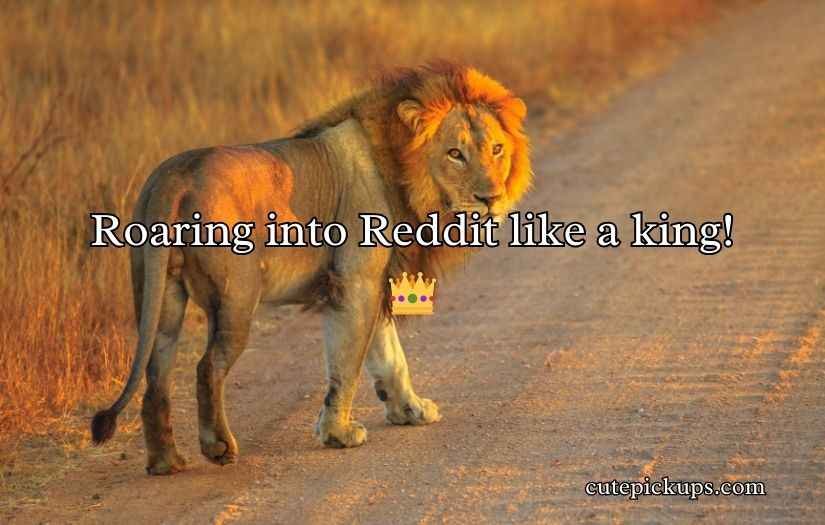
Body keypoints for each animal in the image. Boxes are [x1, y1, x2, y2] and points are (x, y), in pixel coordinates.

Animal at [91, 63, 532, 475]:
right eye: (455, 154)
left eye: (496, 149)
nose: (490, 198)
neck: (403, 171)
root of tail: (177, 176)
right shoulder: (355, 282)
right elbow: (347, 363)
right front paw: (338, 433)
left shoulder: (376, 282)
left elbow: (389, 355)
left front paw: (410, 410)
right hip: (236, 300)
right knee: (207, 368)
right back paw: (218, 447)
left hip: (161, 295)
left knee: (156, 376)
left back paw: (165, 461)